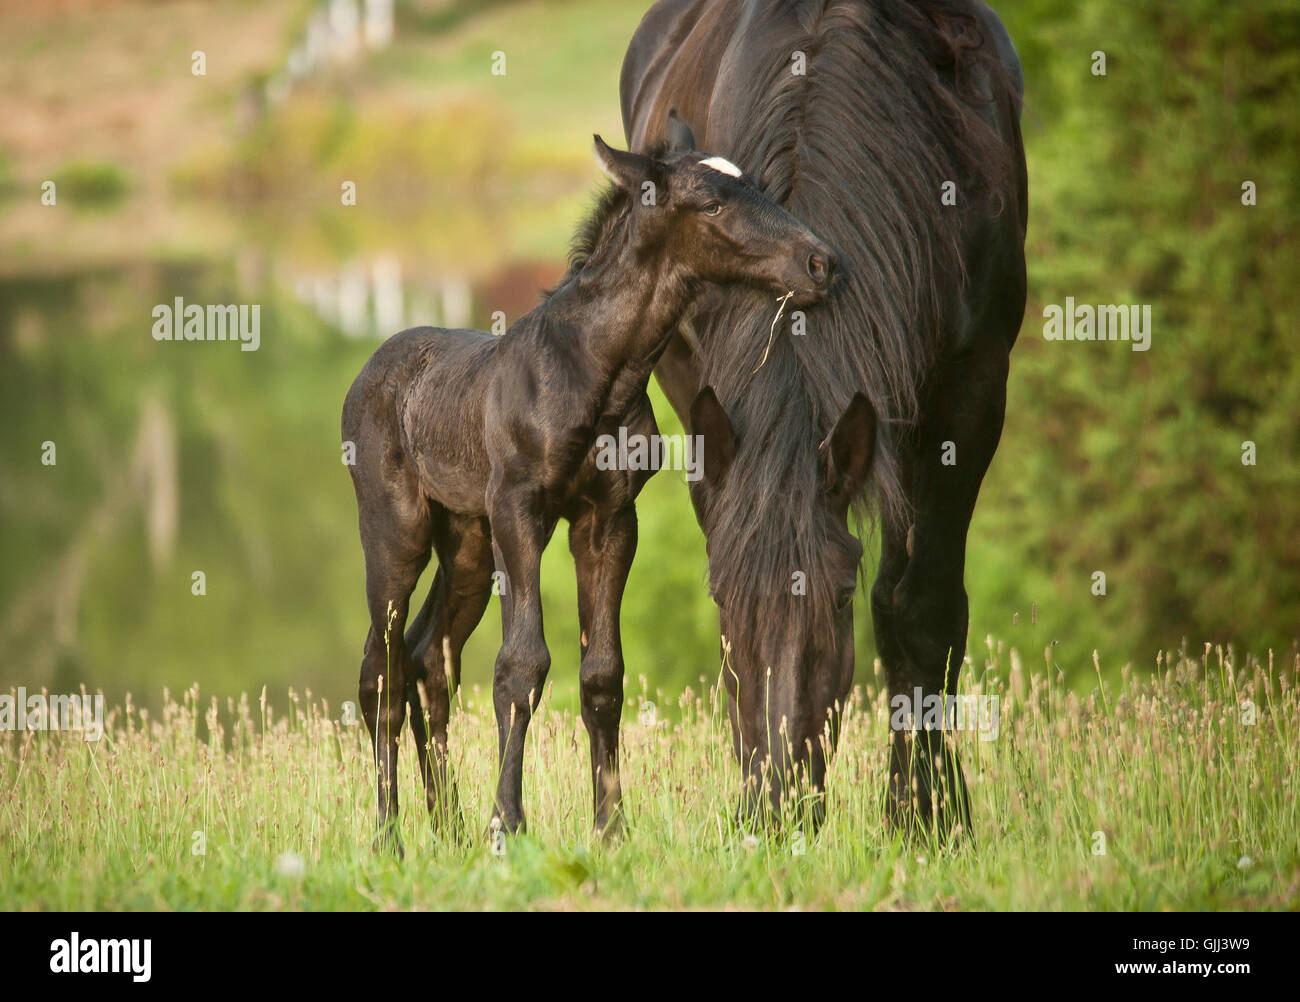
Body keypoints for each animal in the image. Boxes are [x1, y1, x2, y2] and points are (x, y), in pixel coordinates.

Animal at [342, 123, 836, 851]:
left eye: (757, 187)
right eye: (711, 202)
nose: (822, 264)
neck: (604, 372)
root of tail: (368, 371)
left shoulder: (609, 519)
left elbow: (602, 674)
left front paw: (610, 829)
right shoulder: (519, 510)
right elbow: (522, 665)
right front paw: (507, 825)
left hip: (465, 543)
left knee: (428, 658)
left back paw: (448, 828)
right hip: (396, 532)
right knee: (381, 670)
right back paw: (389, 835)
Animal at [621, 0, 1028, 836]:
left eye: (837, 598)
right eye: (721, 599)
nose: (777, 807)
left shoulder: (972, 390)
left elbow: (919, 606)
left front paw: (929, 815)